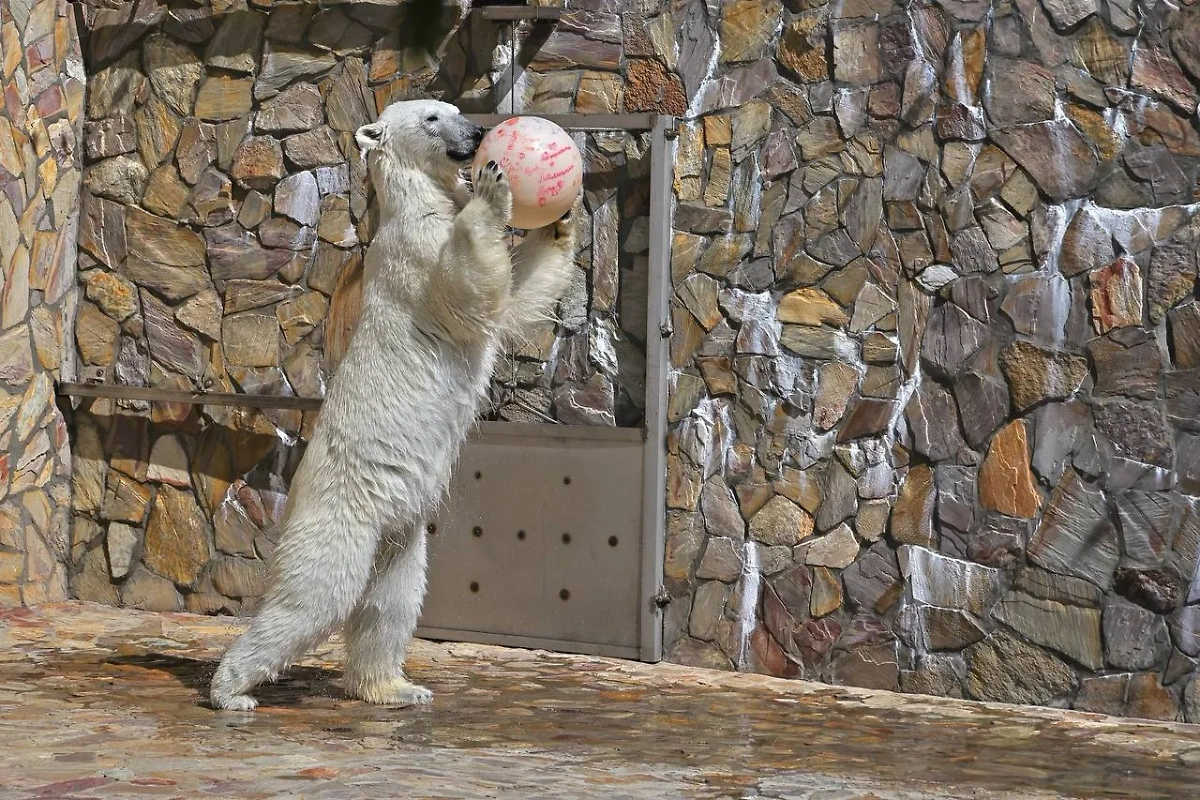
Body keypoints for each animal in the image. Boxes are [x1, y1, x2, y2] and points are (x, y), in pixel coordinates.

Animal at [210, 100, 576, 714]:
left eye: (455, 109)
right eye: (433, 117)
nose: (478, 132)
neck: (416, 199)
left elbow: (513, 300)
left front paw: (561, 222)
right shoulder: (415, 253)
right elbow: (467, 291)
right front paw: (492, 189)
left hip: (400, 531)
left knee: (391, 601)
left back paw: (394, 687)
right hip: (342, 516)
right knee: (317, 596)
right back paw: (230, 691)